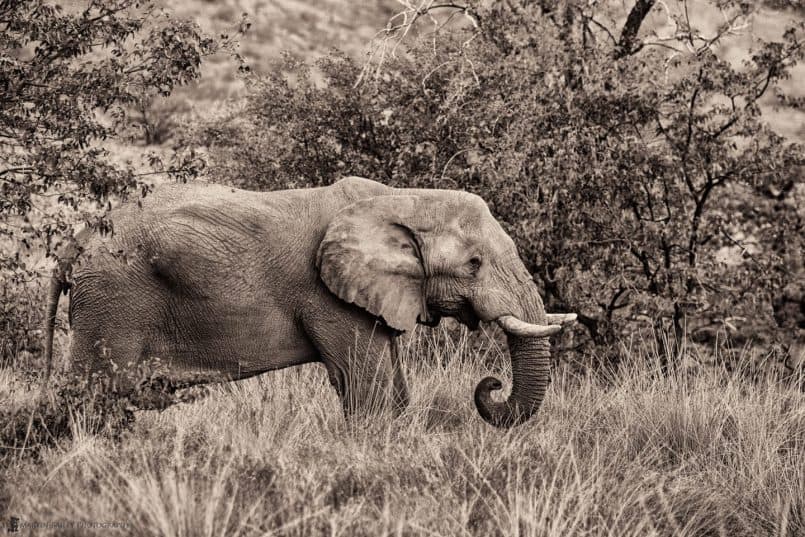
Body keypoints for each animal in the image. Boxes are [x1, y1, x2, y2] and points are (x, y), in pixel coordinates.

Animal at [44, 177, 576, 428]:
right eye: (473, 265)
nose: (490, 385)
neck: (404, 199)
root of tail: (77, 240)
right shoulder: (329, 296)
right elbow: (367, 387)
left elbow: (392, 386)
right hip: (112, 299)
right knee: (96, 396)